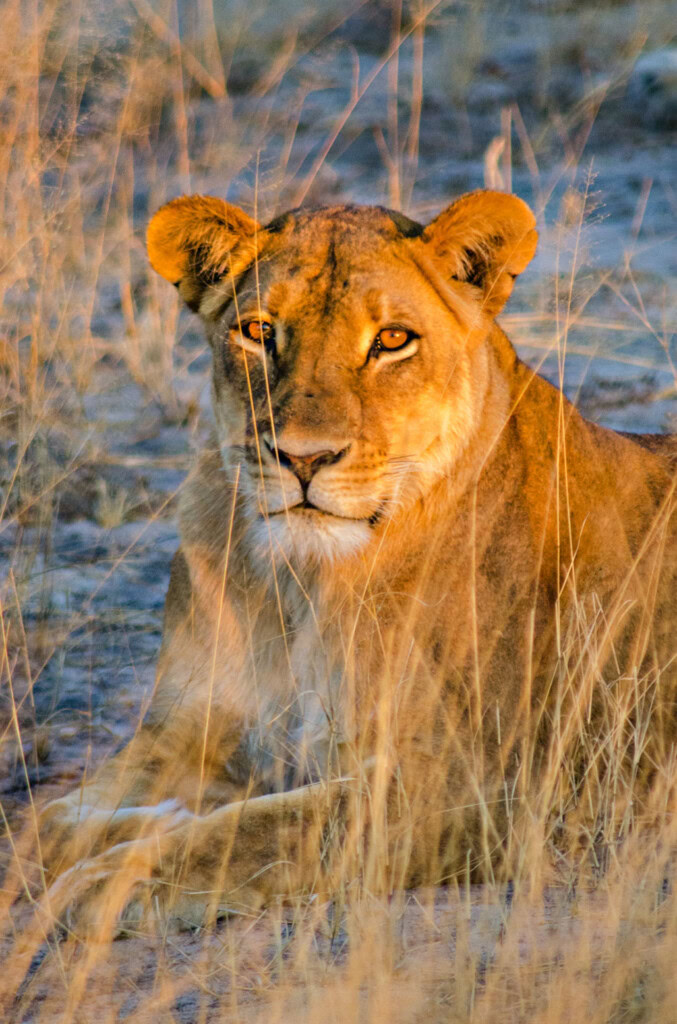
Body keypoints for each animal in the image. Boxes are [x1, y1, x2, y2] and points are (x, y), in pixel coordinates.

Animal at [37, 189, 677, 937]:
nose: (304, 459)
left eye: (392, 340)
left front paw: (105, 879)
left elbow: (260, 830)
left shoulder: (467, 788)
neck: (300, 583)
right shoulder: (191, 724)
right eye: (257, 330)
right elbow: (50, 819)